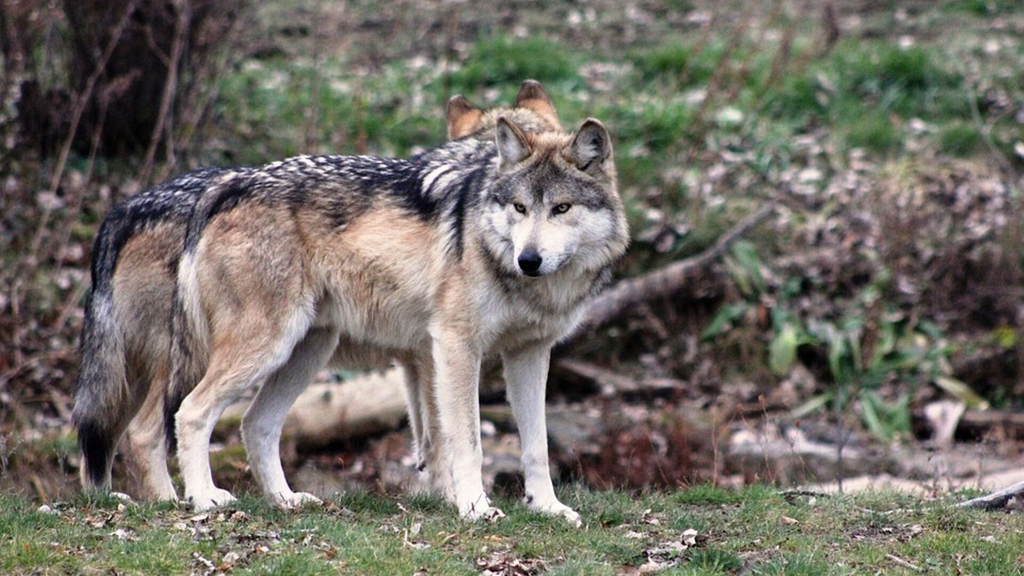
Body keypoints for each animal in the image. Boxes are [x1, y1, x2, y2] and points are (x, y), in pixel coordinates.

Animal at [73, 85, 532, 498]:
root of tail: (125, 209)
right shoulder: (438, 350)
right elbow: (445, 435)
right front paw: (455, 498)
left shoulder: (417, 358)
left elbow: (429, 435)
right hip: (217, 354)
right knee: (151, 430)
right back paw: (185, 500)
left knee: (110, 438)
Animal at [165, 80, 630, 520]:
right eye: (519, 207)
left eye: (561, 208)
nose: (528, 260)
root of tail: (229, 185)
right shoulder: (454, 346)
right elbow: (465, 440)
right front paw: (474, 507)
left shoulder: (528, 353)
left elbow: (536, 445)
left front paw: (548, 507)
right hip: (268, 347)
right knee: (191, 412)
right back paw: (204, 498)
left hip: (306, 352)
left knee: (256, 424)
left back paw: (286, 500)